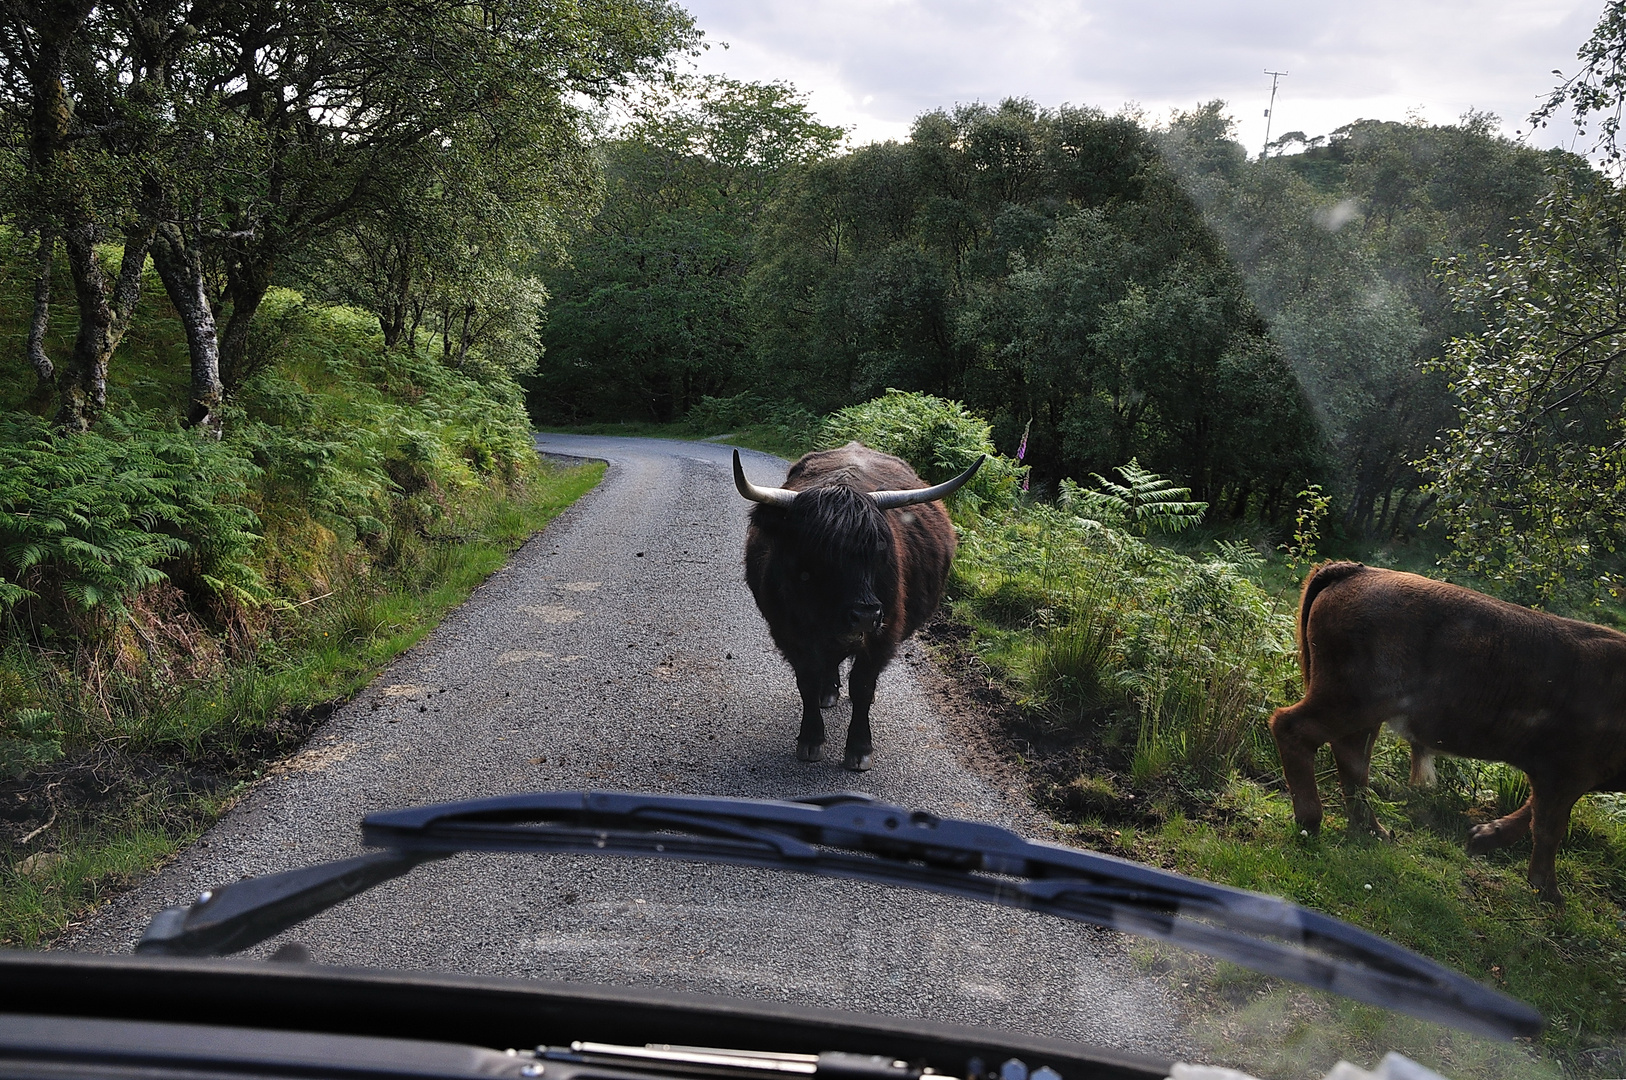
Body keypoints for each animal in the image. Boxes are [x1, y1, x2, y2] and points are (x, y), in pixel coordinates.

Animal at [734, 442, 975, 770]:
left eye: (879, 551)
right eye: (817, 554)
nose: (864, 615)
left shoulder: (883, 635)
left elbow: (862, 687)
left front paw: (859, 747)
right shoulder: (789, 634)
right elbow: (807, 682)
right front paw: (811, 739)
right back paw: (828, 692)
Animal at [1268, 566, 1626, 904]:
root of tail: (1359, 571)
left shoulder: (1559, 777)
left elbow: (1532, 812)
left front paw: (1481, 838)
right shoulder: (1565, 774)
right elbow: (1549, 827)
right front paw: (1550, 892)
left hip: (1363, 714)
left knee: (1352, 760)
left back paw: (1374, 832)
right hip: (1348, 702)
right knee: (1293, 728)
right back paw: (1312, 821)